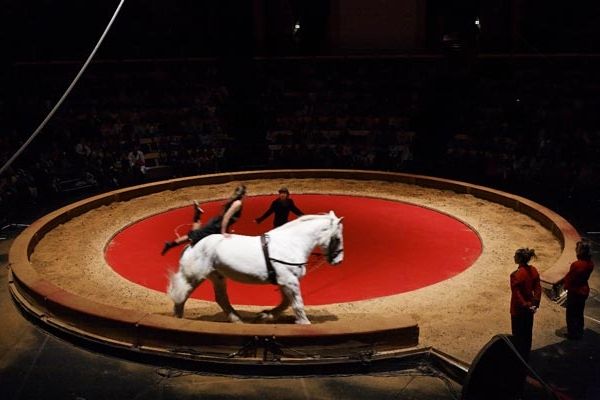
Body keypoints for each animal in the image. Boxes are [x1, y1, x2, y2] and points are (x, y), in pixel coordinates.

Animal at [166, 211, 344, 324]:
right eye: (337, 238)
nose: (339, 261)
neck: (291, 244)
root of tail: (192, 244)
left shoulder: (283, 281)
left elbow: (286, 302)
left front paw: (265, 316)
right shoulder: (289, 280)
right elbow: (297, 304)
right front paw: (304, 323)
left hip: (217, 276)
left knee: (221, 299)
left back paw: (237, 320)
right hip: (194, 276)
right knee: (181, 296)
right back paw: (178, 319)